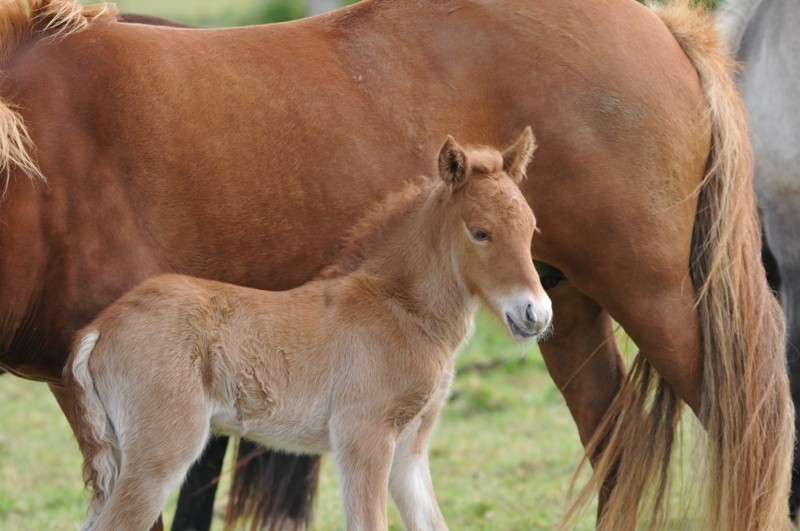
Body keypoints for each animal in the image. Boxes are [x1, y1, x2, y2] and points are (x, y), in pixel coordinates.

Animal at [65, 130, 552, 531]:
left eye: (532, 227)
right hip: (161, 453)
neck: (400, 308)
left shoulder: (409, 451)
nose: (537, 314)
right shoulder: (363, 434)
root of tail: (101, 328)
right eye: (480, 233)